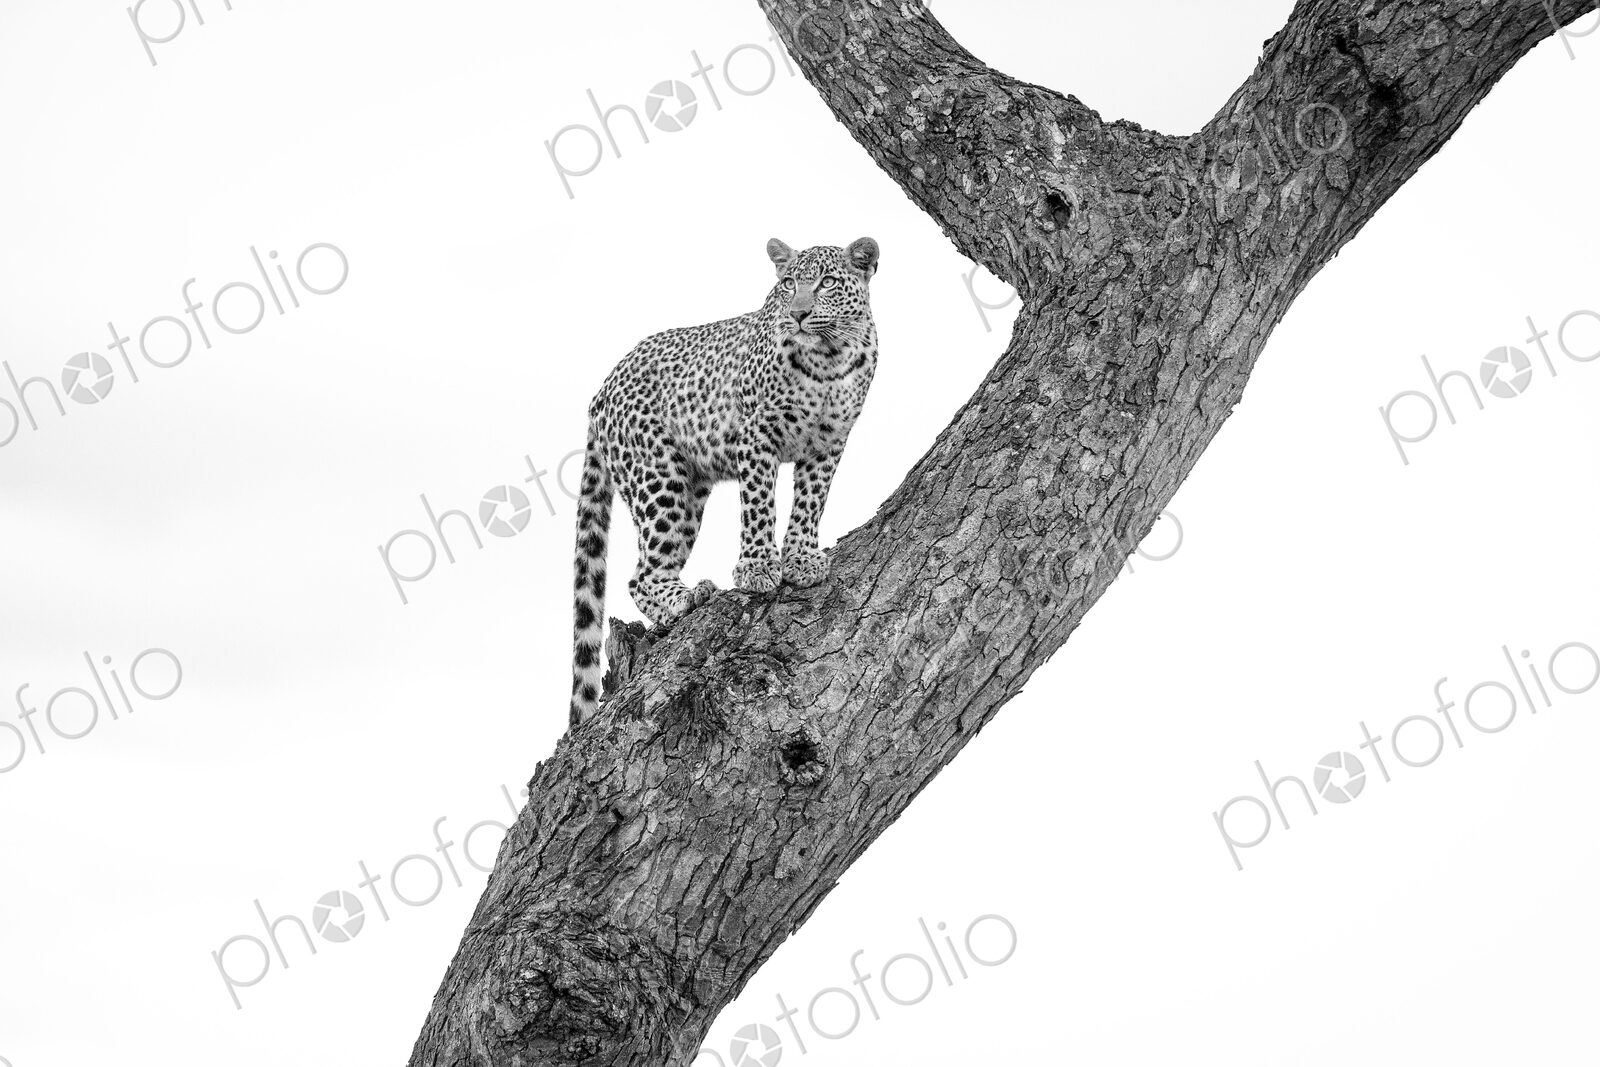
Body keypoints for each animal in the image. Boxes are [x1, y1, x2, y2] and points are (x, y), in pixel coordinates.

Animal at [569, 236, 881, 725]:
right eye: (789, 284)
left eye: (828, 283)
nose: (799, 313)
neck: (828, 360)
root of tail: (601, 390)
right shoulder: (756, 436)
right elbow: (759, 505)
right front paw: (757, 567)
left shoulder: (829, 443)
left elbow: (811, 502)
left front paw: (801, 558)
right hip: (659, 479)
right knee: (641, 574)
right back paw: (685, 600)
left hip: (689, 490)